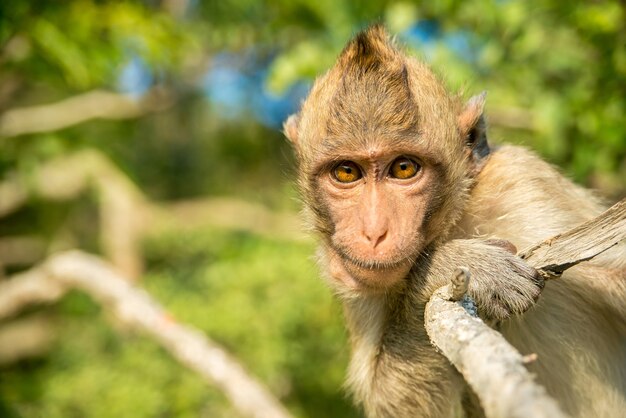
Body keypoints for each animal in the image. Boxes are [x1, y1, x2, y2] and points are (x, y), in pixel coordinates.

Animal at [282, 24, 624, 416]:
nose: (374, 232)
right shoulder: (342, 274)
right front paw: (450, 269)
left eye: (404, 168)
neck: (454, 221)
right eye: (346, 172)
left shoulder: (520, 183)